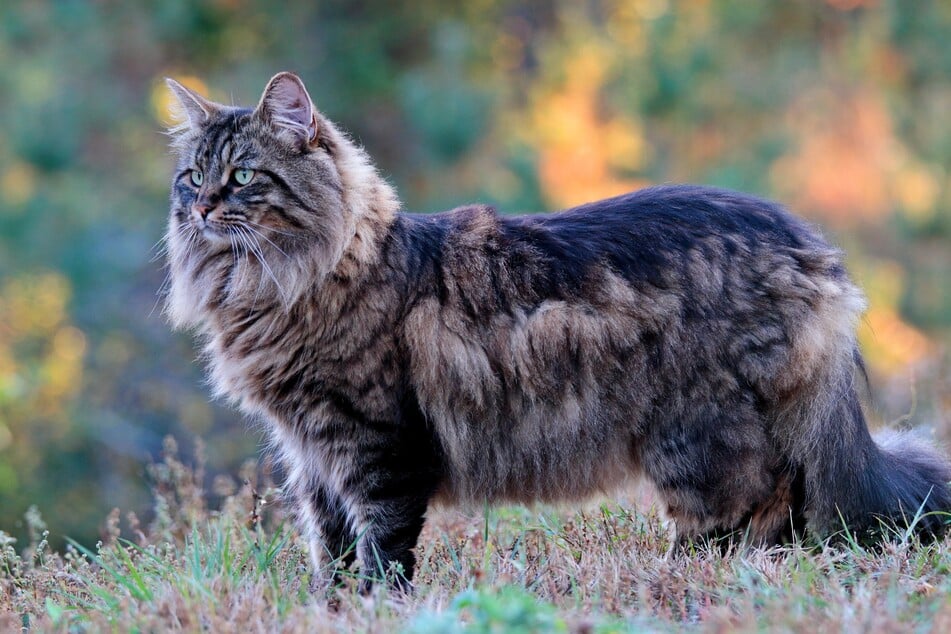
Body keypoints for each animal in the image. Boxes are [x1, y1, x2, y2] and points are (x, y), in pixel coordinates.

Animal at [165, 71, 951, 592]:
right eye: (191, 176)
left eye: (243, 177)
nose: (201, 207)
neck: (269, 286)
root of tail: (809, 246)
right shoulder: (311, 452)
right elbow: (327, 545)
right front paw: (330, 605)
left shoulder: (373, 442)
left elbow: (380, 544)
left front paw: (374, 605)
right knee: (782, 522)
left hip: (701, 437)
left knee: (737, 523)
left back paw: (675, 588)